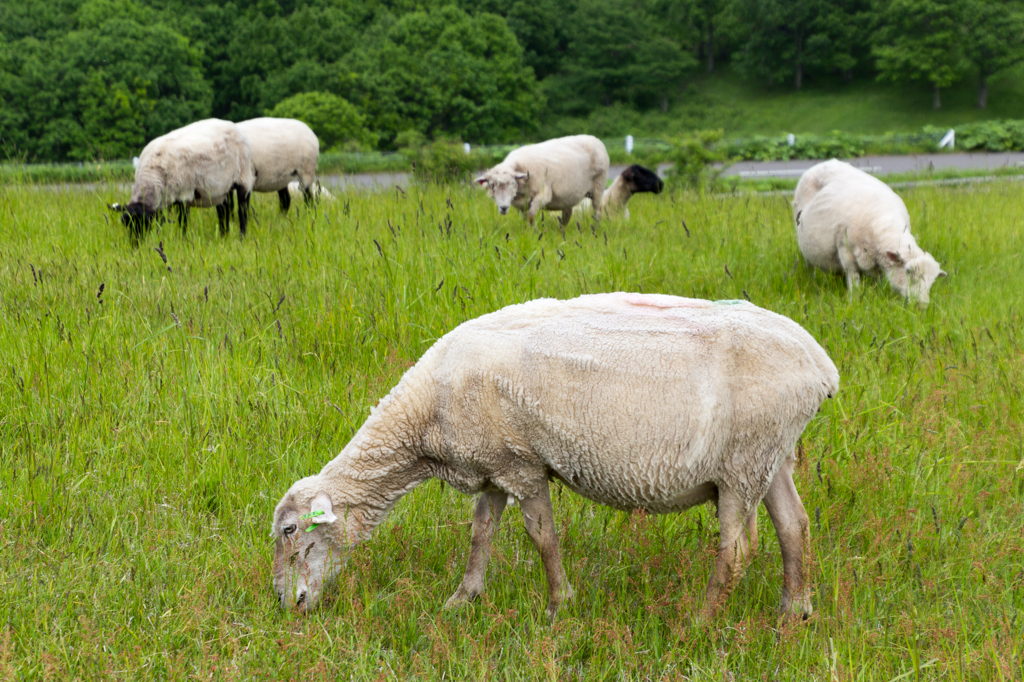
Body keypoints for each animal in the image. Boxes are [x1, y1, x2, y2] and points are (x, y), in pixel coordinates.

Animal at [117, 118, 256, 242]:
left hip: (244, 178)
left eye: (144, 223)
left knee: (242, 211)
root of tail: (232, 124)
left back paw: (242, 237)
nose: (135, 245)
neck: (153, 171)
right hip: (221, 189)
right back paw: (224, 236)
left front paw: (181, 241)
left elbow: (182, 222)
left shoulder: (184, 196)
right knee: (224, 210)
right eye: (127, 225)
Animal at [272, 288, 839, 618]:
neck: (424, 417)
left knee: (738, 551)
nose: (286, 604)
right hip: (771, 456)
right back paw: (795, 612)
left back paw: (698, 623)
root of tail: (821, 367)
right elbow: (481, 535)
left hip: (744, 463)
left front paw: (558, 609)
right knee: (795, 526)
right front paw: (461, 600)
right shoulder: (492, 467)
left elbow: (541, 537)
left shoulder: (521, 465)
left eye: (289, 531)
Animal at [477, 134, 610, 224]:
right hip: (568, 195)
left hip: (599, 185)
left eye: (512, 183)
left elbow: (531, 215)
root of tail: (596, 139)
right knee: (567, 214)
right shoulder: (522, 205)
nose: (504, 208)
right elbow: (525, 218)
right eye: (492, 185)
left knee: (597, 210)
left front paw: (535, 233)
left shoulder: (544, 194)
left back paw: (596, 227)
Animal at [794, 157, 946, 303]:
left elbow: (876, 281)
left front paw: (875, 294)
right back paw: (811, 281)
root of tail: (824, 163)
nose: (922, 305)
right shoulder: (846, 252)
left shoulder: (878, 262)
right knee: (809, 265)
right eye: (908, 271)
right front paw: (854, 300)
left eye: (932, 281)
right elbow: (853, 278)